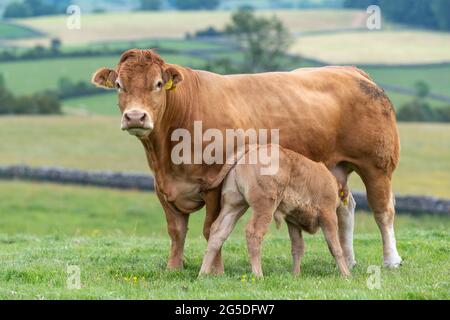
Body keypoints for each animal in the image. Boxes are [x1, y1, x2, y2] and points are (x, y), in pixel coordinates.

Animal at [200, 145, 352, 278]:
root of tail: (254, 149)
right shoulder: (328, 215)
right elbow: (335, 247)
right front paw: (346, 275)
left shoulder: (293, 221)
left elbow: (297, 247)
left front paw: (296, 275)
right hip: (265, 207)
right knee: (254, 233)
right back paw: (258, 275)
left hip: (234, 206)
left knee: (218, 231)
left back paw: (203, 273)